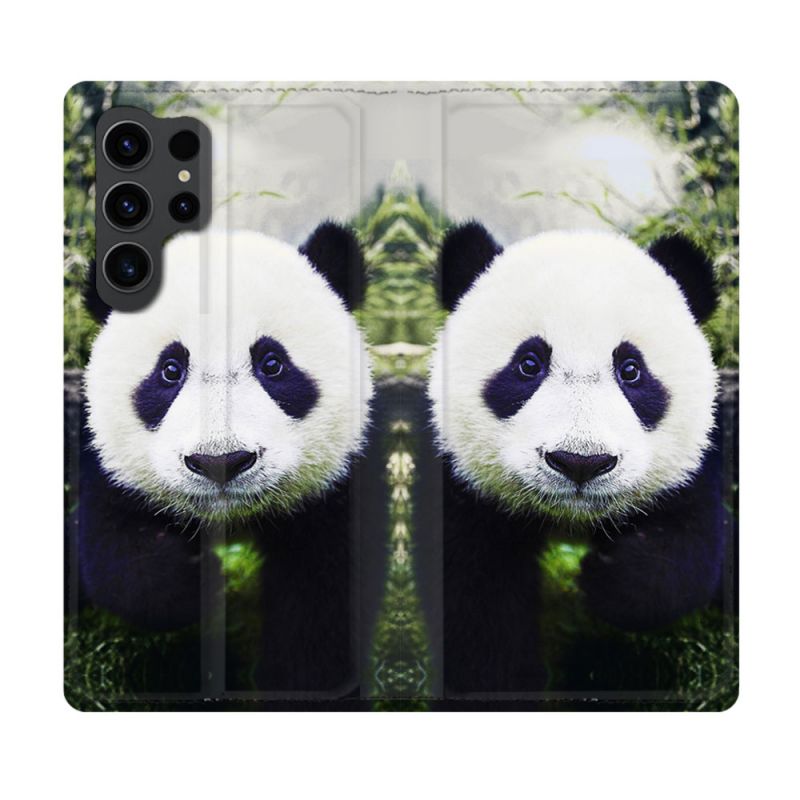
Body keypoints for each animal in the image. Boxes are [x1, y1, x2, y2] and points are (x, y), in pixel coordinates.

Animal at [76, 222, 372, 694]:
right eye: (170, 370)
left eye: (272, 363)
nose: (221, 462)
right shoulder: (112, 470)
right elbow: (119, 559)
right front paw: (198, 581)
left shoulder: (336, 490)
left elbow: (322, 605)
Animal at [428, 222, 726, 695]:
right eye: (528, 364)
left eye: (631, 370)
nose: (580, 462)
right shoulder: (463, 488)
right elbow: (475, 603)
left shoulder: (690, 468)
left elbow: (685, 553)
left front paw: (608, 577)